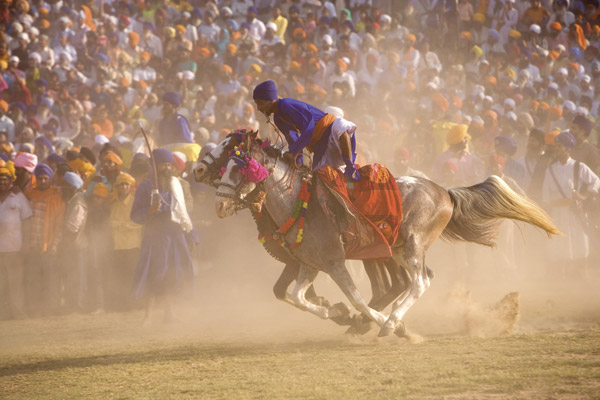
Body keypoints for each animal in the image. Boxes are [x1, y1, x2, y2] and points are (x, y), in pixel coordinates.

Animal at [203, 132, 564, 338]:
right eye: (226, 166)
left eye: (238, 168)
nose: (219, 205)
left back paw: (391, 323)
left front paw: (371, 319)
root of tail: (444, 192)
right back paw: (391, 318)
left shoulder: (334, 262)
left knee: (418, 282)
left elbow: (357, 299)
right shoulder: (310, 264)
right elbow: (297, 296)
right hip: (397, 250)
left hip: (410, 246)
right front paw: (336, 312)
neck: (298, 203)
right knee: (420, 280)